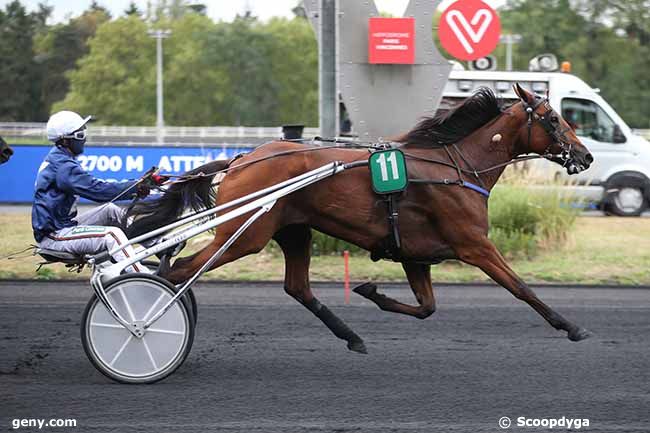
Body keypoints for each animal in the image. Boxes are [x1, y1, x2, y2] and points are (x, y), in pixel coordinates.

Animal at [123, 84, 592, 352]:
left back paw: (352, 337)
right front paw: (570, 326)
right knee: (179, 270)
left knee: (296, 287)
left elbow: (427, 308)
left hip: (294, 230)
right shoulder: (475, 244)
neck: (456, 168)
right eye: (553, 118)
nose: (585, 156)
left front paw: (371, 291)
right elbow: (520, 288)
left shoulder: (415, 254)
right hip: (246, 234)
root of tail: (242, 159)